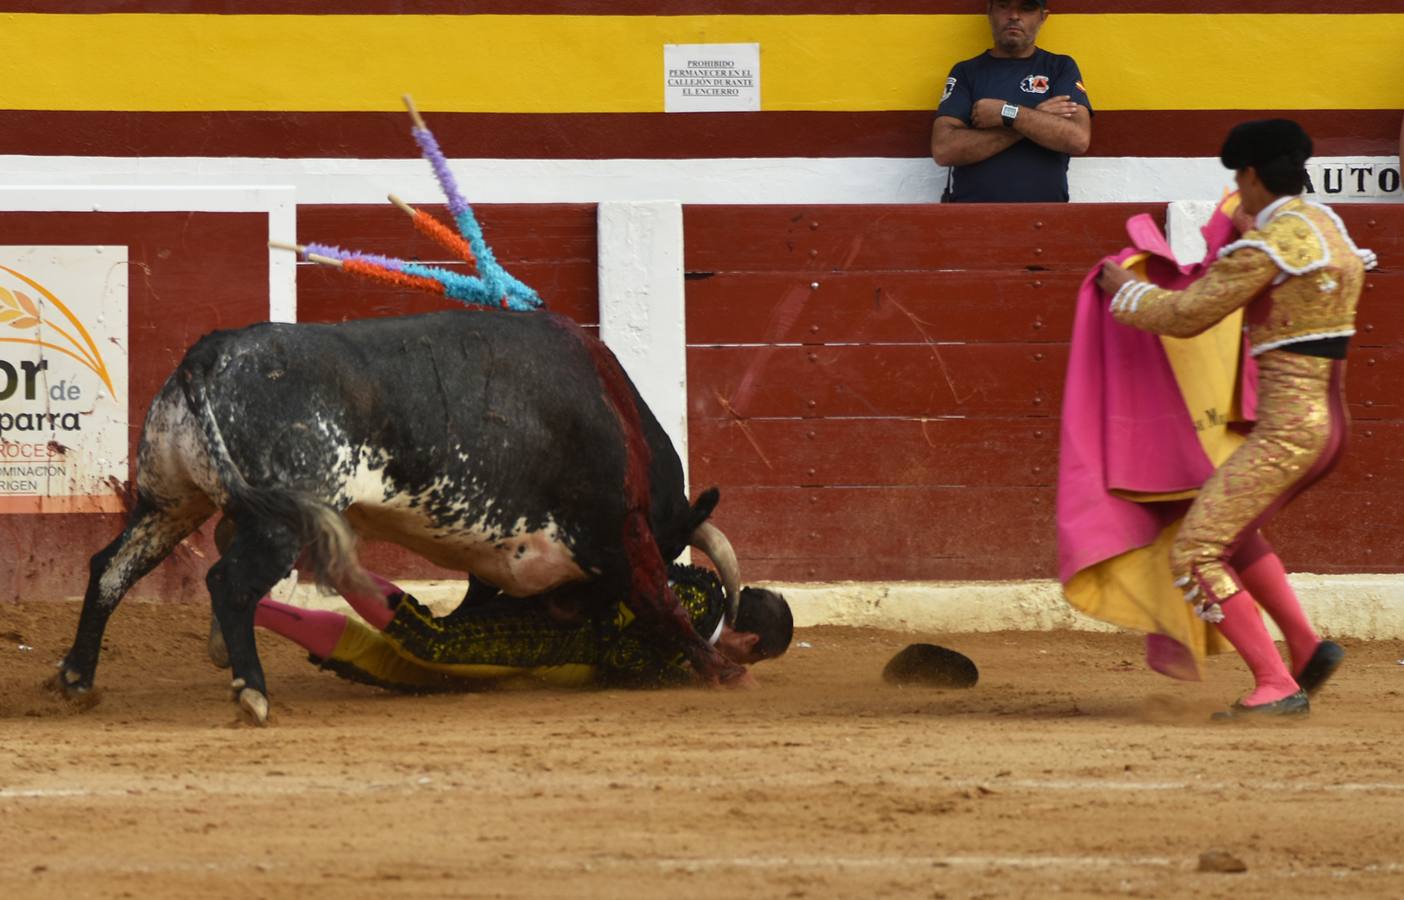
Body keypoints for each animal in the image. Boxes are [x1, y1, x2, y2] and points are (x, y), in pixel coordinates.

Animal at [53, 311, 752, 718]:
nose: (577, 617)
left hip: (169, 501)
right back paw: (252, 690)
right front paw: (722, 669)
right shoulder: (620, 532)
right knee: (228, 581)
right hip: (281, 520)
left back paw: (77, 678)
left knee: (110, 569)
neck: (615, 412)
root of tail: (210, 354)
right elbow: (661, 598)